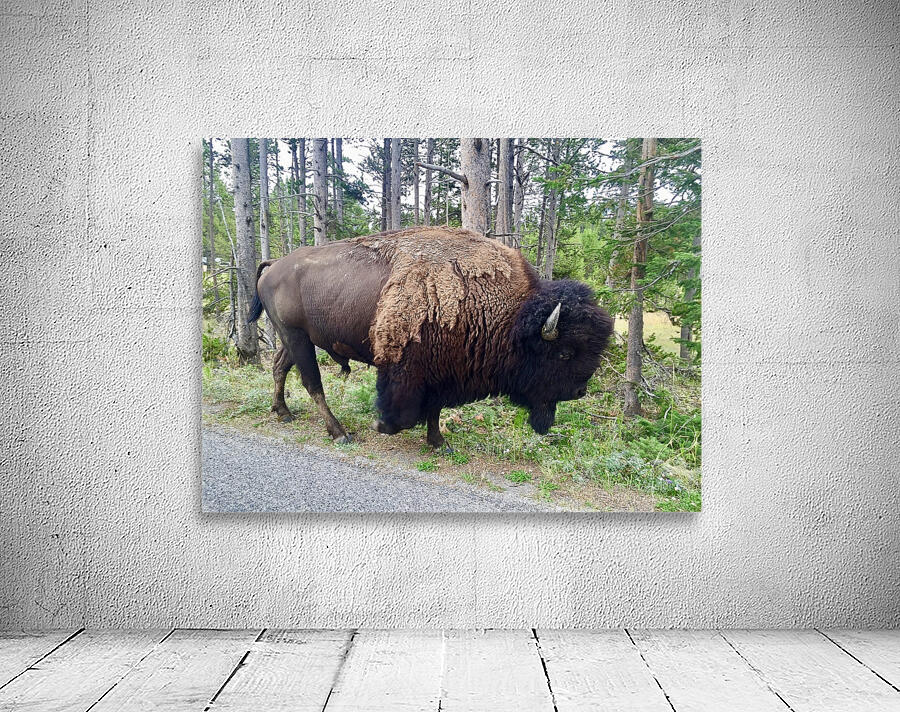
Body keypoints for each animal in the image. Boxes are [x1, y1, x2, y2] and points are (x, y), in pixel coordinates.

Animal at [249, 227, 613, 449]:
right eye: (565, 353)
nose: (579, 392)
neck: (511, 317)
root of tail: (274, 264)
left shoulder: (442, 370)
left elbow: (435, 409)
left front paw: (439, 442)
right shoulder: (407, 368)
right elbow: (404, 411)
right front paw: (382, 426)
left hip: (293, 338)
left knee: (280, 367)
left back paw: (282, 412)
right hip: (297, 338)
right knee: (312, 383)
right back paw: (339, 433)